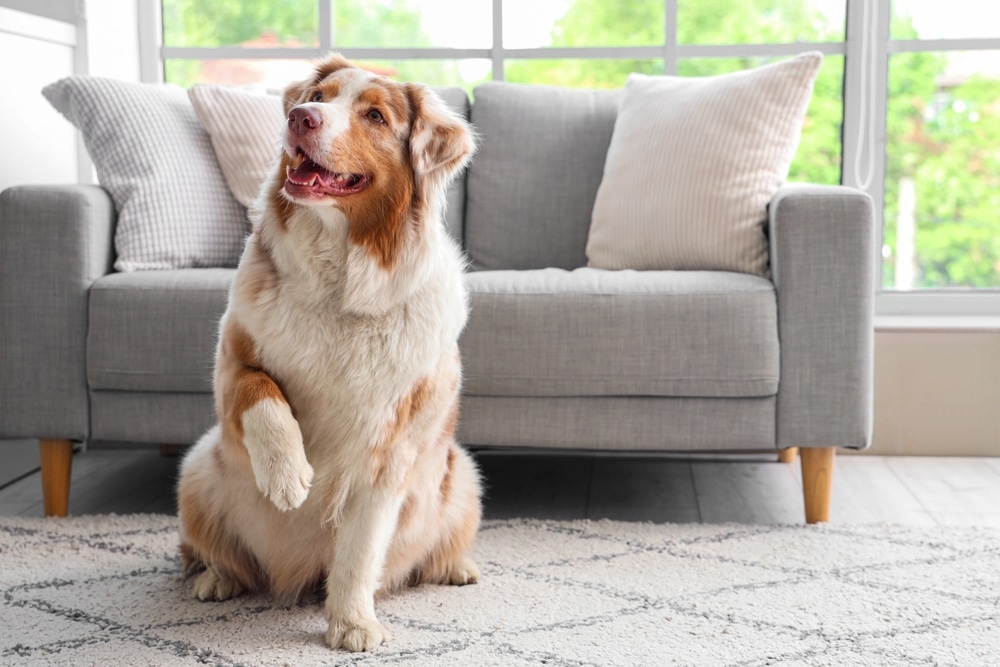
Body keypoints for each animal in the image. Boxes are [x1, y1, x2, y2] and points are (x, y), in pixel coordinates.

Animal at [179, 54, 484, 656]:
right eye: (319, 96)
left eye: (375, 116)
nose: (300, 117)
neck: (340, 285)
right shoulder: (231, 364)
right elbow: (262, 393)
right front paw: (287, 474)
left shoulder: (388, 452)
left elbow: (360, 553)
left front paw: (351, 624)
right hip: (198, 469)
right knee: (210, 552)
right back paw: (217, 577)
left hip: (461, 473)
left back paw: (455, 567)